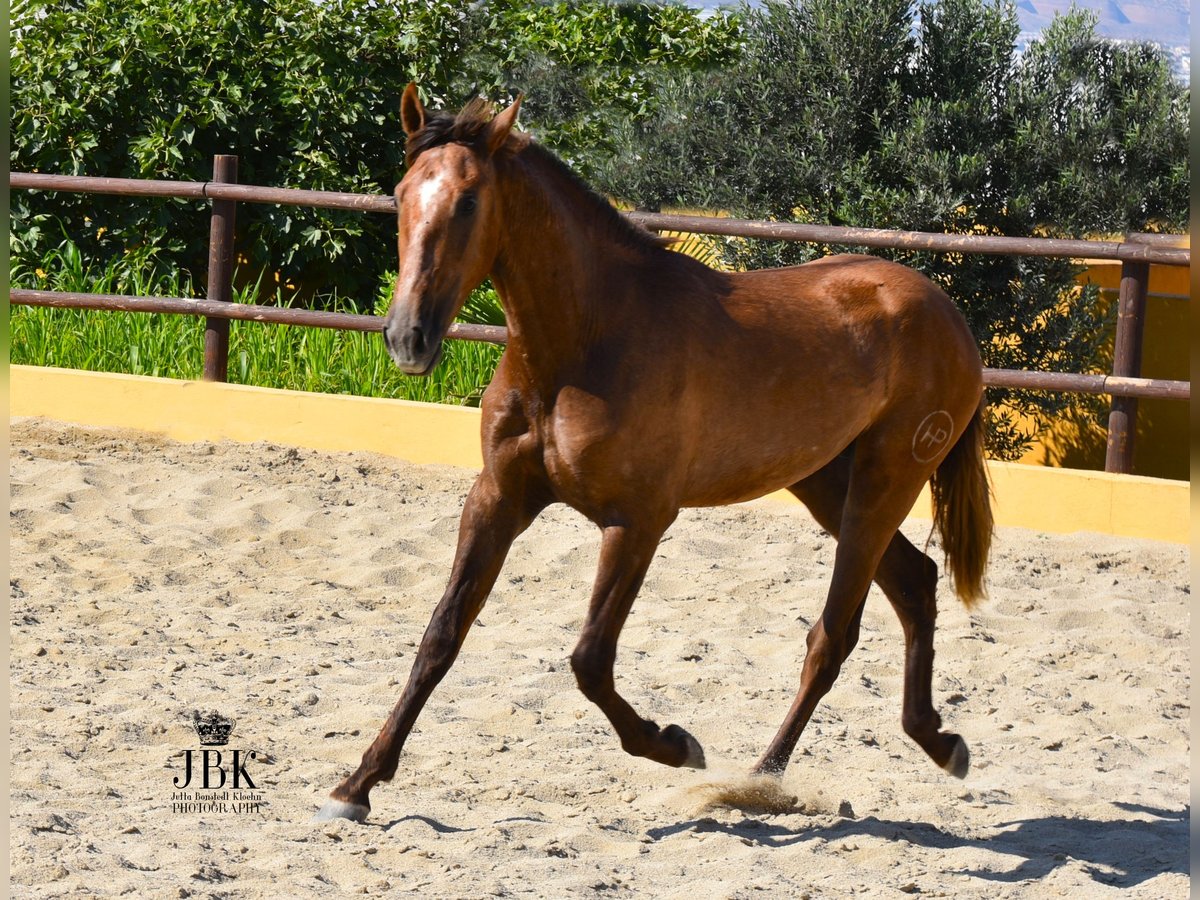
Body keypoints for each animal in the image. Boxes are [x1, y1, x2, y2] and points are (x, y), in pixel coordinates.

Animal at [312, 86, 993, 825]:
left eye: (468, 202)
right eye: (401, 193)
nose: (408, 338)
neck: (586, 341)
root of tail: (948, 313)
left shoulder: (637, 521)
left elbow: (589, 659)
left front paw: (675, 744)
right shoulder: (497, 498)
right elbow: (441, 636)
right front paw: (356, 786)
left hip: (883, 480)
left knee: (833, 636)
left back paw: (760, 780)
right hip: (826, 483)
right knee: (914, 582)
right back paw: (942, 743)